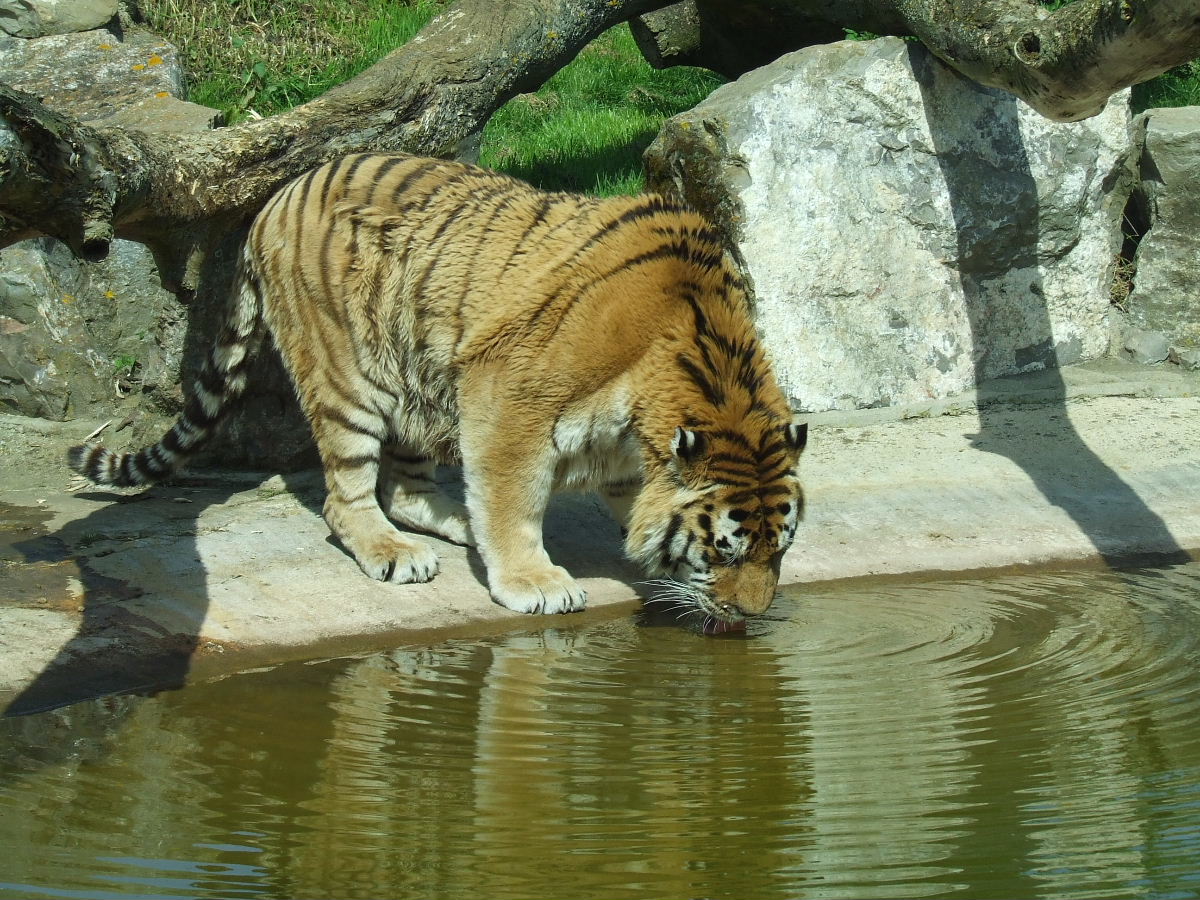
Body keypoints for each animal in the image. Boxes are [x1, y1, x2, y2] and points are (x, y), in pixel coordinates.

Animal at [69, 153, 808, 625]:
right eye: (723, 550)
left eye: (780, 548)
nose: (752, 616)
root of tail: (271, 201)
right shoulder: (508, 397)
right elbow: (514, 502)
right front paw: (534, 582)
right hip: (351, 378)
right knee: (347, 497)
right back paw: (394, 553)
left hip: (418, 376)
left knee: (405, 488)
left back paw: (456, 524)